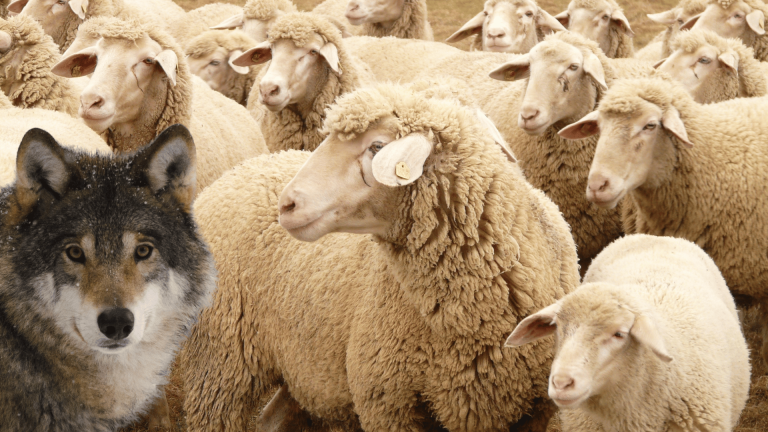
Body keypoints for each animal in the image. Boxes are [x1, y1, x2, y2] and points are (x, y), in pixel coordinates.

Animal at [183, 82, 580, 432]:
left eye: (376, 146)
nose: (288, 204)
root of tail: (236, 173)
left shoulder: (538, 410)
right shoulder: (387, 402)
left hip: (305, 372)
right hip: (218, 367)